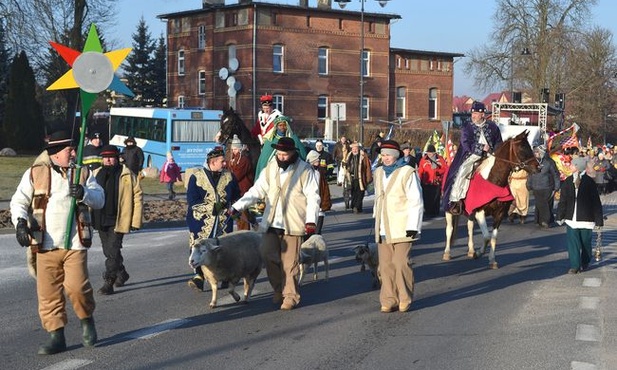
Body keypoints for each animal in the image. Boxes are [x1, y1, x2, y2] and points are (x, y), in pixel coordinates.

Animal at [442, 131, 540, 268]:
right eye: (522, 149)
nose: (539, 167)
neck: (493, 180)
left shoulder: (499, 214)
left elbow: (493, 238)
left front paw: (492, 260)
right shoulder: (480, 212)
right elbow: (487, 237)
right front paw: (479, 253)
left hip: (470, 212)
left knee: (470, 227)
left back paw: (471, 250)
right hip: (449, 210)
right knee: (449, 229)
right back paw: (447, 253)